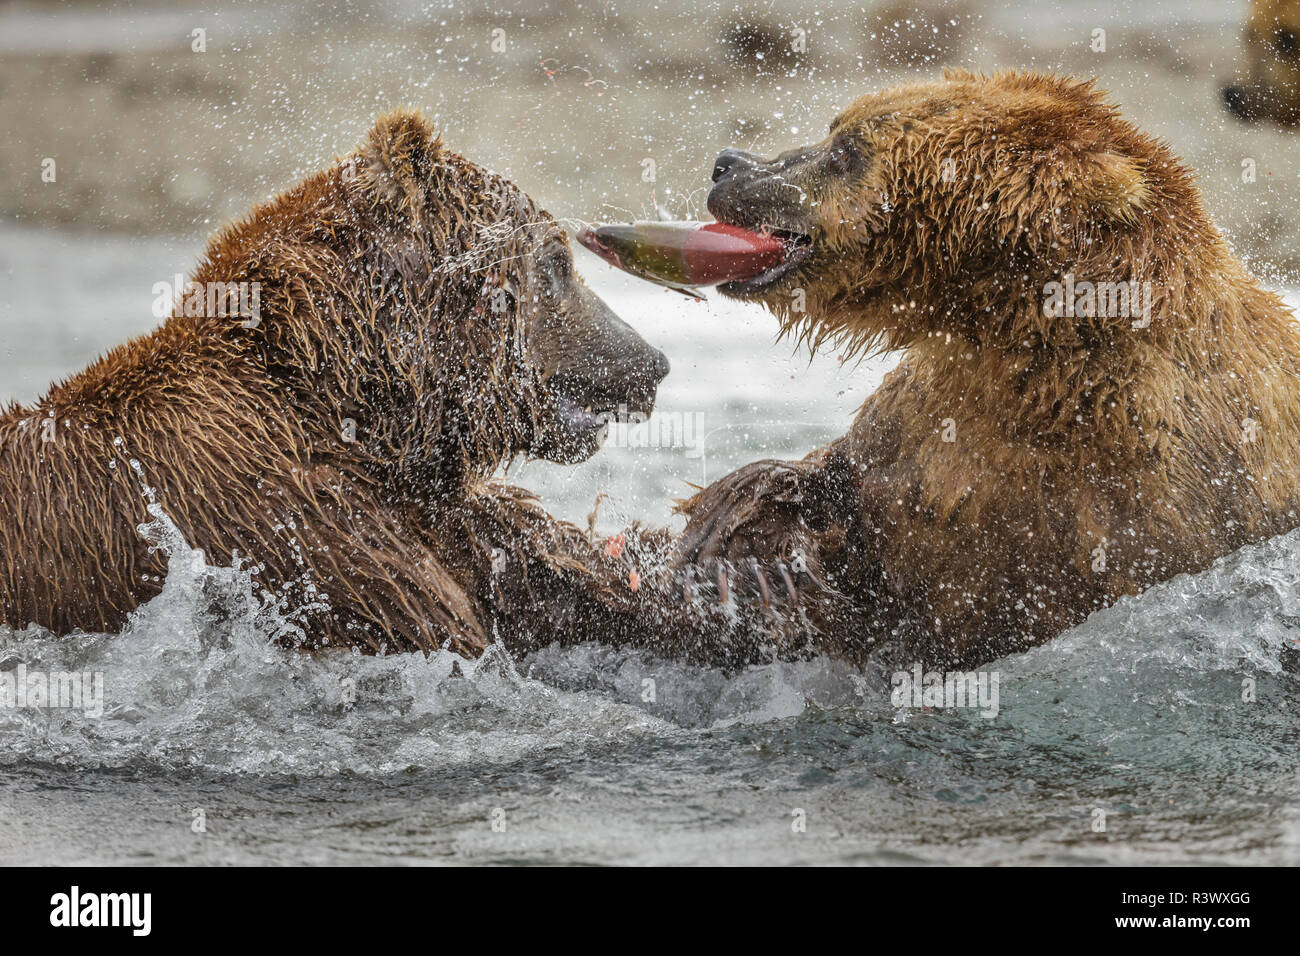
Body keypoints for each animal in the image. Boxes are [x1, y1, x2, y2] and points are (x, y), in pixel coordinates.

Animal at [0, 108, 670, 655]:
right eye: (557, 260)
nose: (653, 362)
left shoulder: (434, 510)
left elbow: (559, 572)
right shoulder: (296, 525)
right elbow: (435, 625)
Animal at [676, 70, 1300, 671]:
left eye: (849, 149)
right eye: (837, 128)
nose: (727, 163)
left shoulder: (1142, 508)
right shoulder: (927, 427)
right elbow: (842, 495)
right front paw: (739, 538)